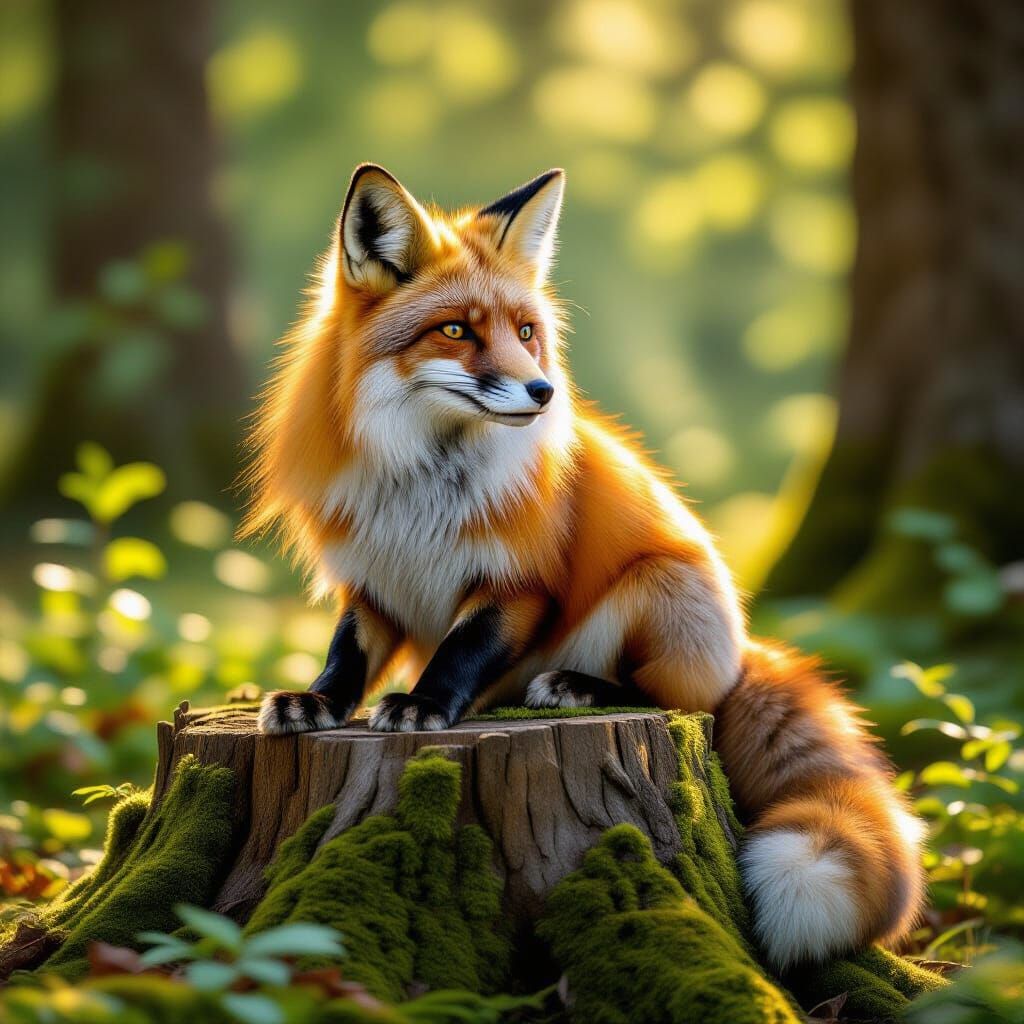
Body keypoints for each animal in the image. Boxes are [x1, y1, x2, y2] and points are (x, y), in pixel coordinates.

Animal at [242, 164, 925, 971]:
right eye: (456, 329)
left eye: (526, 333)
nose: (543, 393)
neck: (423, 482)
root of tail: (742, 646)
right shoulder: (374, 579)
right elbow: (346, 657)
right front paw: (315, 703)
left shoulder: (519, 582)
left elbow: (459, 651)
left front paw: (421, 705)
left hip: (659, 589)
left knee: (681, 698)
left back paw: (579, 687)